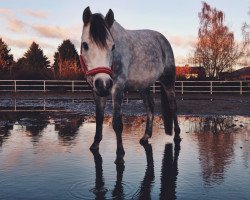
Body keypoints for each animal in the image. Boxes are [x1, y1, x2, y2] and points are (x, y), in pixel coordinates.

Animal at [80, 7, 180, 164]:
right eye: (85, 45)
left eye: (113, 46)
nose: (104, 83)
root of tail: (163, 40)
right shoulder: (96, 91)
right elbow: (99, 117)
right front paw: (95, 144)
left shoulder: (117, 88)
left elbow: (117, 123)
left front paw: (120, 154)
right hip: (144, 86)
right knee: (150, 106)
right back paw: (146, 136)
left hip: (168, 82)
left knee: (172, 106)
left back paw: (177, 136)